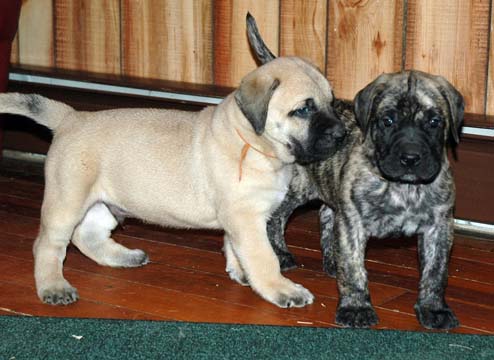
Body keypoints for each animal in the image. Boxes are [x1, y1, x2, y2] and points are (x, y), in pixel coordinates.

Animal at [0, 50, 346, 308]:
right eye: (303, 110)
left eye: (332, 103)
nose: (341, 134)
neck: (251, 140)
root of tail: (70, 118)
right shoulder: (247, 219)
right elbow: (264, 258)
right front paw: (282, 289)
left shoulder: (240, 220)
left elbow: (235, 248)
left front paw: (240, 272)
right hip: (67, 200)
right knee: (48, 245)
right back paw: (53, 287)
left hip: (101, 202)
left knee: (86, 235)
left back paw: (124, 257)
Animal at [249, 16, 466, 330]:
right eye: (387, 121)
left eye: (434, 122)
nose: (410, 158)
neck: (402, 187)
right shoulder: (353, 223)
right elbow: (353, 268)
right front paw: (355, 307)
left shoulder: (439, 226)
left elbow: (435, 273)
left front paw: (433, 309)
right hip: (295, 189)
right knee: (276, 218)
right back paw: (282, 254)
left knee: (325, 215)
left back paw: (330, 260)